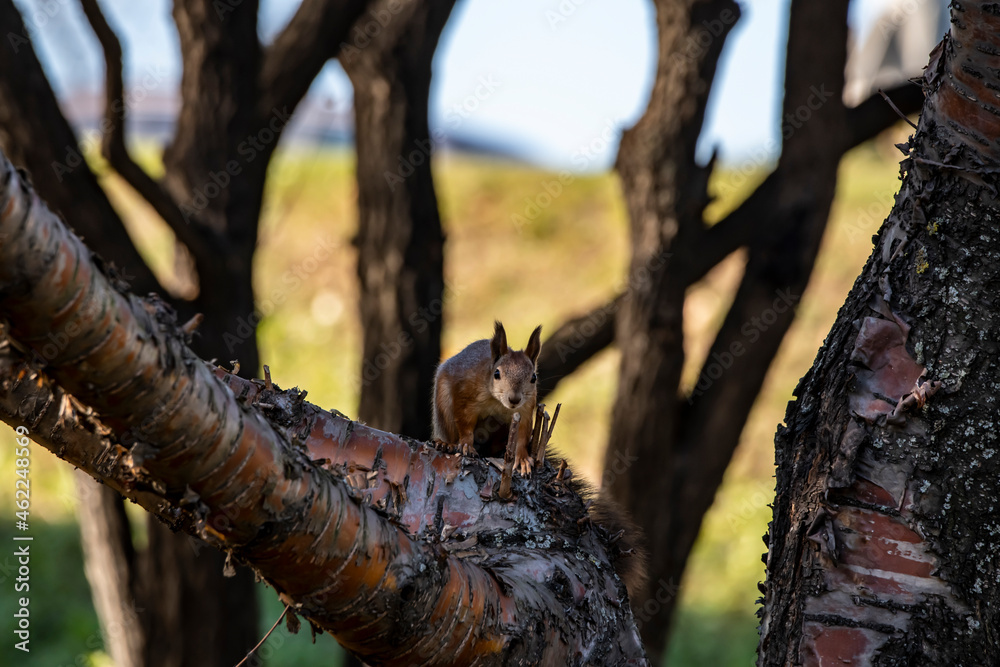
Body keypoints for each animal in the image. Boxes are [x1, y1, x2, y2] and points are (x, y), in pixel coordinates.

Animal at [430, 322, 540, 474]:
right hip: (442, 404)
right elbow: (465, 424)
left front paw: (523, 458)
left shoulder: (525, 409)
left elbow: (522, 436)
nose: (514, 399)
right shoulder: (465, 396)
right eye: (497, 373)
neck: (498, 402)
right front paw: (467, 445)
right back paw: (447, 444)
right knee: (450, 430)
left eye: (534, 378)